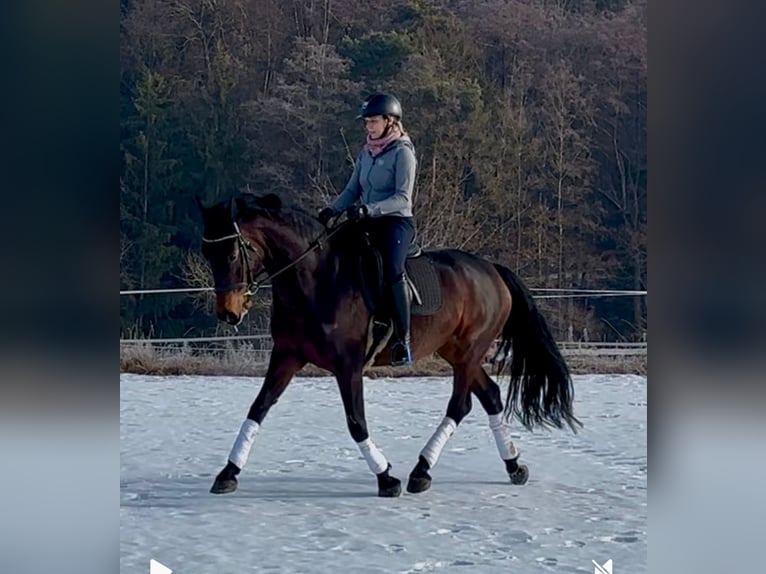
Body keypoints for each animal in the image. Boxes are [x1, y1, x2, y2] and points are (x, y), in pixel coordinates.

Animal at [197, 192, 581, 497]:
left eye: (231, 254)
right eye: (207, 254)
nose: (229, 313)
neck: (315, 279)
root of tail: (492, 269)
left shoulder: (348, 365)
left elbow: (356, 422)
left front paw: (386, 478)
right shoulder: (287, 356)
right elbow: (258, 409)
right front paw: (228, 473)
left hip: (471, 350)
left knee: (461, 405)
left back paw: (421, 471)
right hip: (457, 352)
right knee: (490, 396)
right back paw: (513, 465)